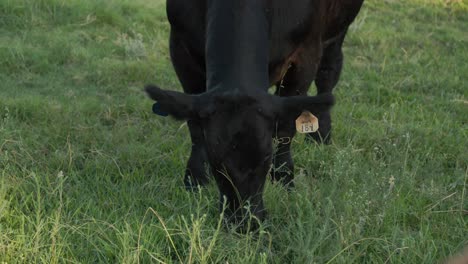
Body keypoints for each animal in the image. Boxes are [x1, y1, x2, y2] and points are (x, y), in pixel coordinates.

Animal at [144, 0, 364, 226]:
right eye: (215, 160)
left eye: (266, 156)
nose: (244, 222)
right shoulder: (180, 48)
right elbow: (195, 127)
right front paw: (195, 179)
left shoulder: (306, 55)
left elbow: (286, 128)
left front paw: (284, 178)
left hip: (338, 30)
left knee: (329, 72)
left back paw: (321, 136)